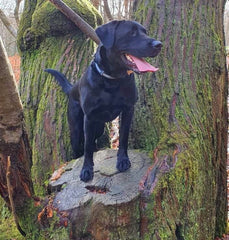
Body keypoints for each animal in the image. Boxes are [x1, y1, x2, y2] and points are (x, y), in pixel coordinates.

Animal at [45, 20, 162, 182]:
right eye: (132, 33)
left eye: (145, 32)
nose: (159, 44)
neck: (112, 80)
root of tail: (73, 88)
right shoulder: (89, 118)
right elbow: (87, 147)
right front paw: (86, 170)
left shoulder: (128, 110)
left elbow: (123, 137)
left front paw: (123, 160)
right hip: (76, 128)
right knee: (80, 146)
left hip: (99, 128)